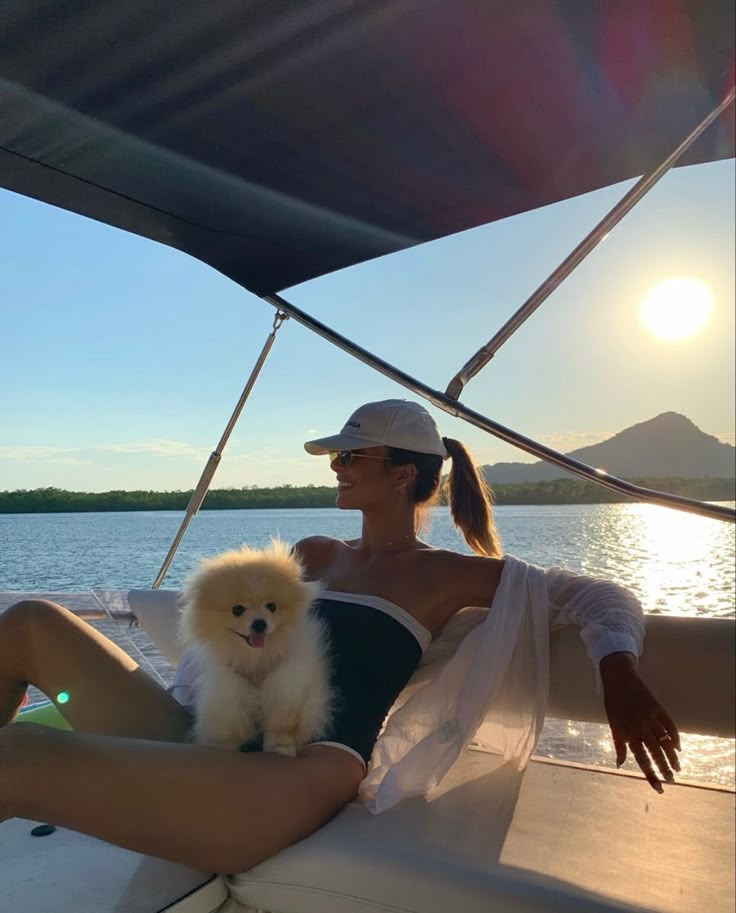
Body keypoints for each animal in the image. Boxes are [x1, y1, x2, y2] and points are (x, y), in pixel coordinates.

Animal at [178, 540, 330, 756]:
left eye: (272, 607)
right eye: (237, 610)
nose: (259, 623)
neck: (256, 657)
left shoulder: (286, 686)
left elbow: (281, 724)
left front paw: (280, 747)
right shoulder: (229, 688)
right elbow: (228, 724)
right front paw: (221, 747)